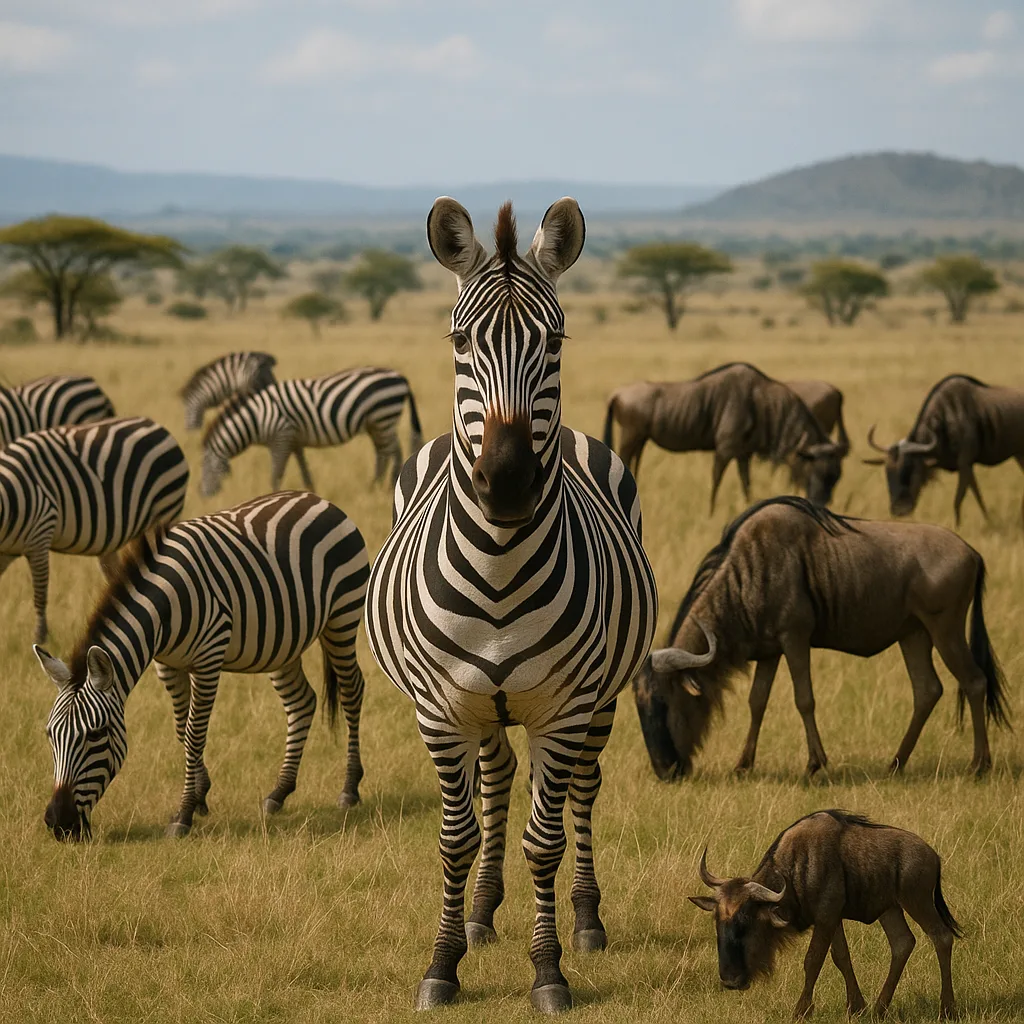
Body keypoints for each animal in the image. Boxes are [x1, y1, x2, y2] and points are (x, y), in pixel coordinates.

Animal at [35, 490, 370, 841]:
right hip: (283, 643)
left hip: (342, 617)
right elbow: (182, 728)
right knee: (301, 701)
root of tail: (316, 499)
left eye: (95, 734)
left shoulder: (208, 659)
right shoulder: (168, 665)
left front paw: (184, 813)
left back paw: (349, 788)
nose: (58, 823)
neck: (165, 608)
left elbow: (195, 732)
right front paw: (199, 796)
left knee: (351, 690)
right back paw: (279, 792)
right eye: (49, 734)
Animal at [200, 367, 422, 496]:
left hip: (383, 417)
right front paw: (311, 492)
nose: (201, 496)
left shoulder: (281, 436)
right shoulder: (294, 440)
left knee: (392, 451)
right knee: (383, 452)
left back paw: (389, 485)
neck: (257, 416)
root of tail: (400, 376)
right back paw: (374, 486)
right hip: (377, 423)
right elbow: (304, 470)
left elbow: (276, 473)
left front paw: (273, 495)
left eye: (206, 470)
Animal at [364, 198, 657, 1012]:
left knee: (580, 793)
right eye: (461, 341)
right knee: (494, 784)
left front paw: (549, 971)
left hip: (598, 700)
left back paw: (585, 920)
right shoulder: (439, 710)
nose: (507, 484)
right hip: (482, 710)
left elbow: (545, 839)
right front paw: (442, 963)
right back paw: (480, 914)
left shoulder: (564, 707)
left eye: (553, 341)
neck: (498, 563)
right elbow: (456, 837)